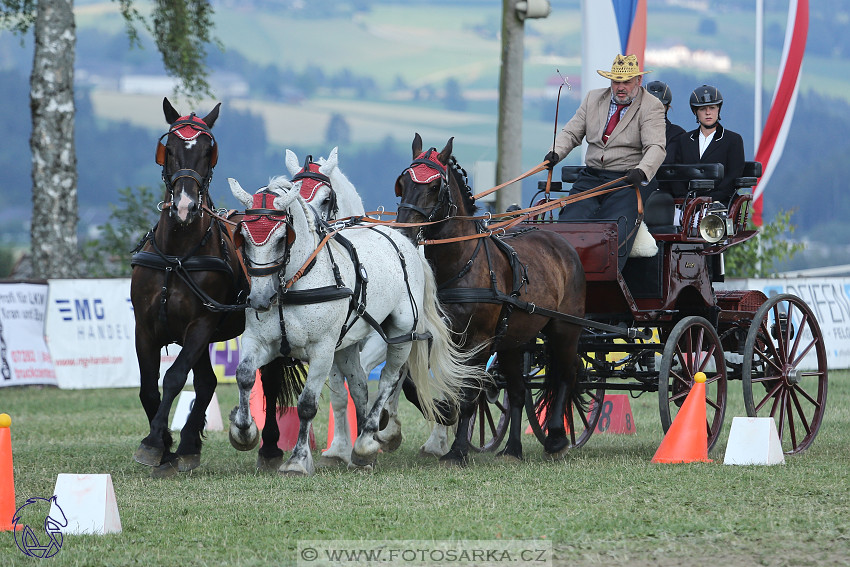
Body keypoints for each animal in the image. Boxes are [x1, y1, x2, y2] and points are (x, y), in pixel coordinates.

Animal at [132, 98, 302, 480]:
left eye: (209, 151)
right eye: (170, 148)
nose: (184, 206)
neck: (178, 256)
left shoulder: (201, 324)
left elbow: (175, 377)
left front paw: (155, 443)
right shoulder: (145, 327)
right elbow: (149, 387)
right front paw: (166, 445)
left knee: (268, 381)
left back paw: (269, 447)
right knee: (207, 382)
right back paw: (188, 446)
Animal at [396, 134, 588, 466]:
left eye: (435, 186)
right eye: (403, 181)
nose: (405, 231)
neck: (461, 264)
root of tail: (561, 243)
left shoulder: (479, 340)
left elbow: (470, 392)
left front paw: (458, 450)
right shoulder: (440, 334)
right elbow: (410, 382)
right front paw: (444, 412)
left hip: (564, 329)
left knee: (566, 373)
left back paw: (556, 438)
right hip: (514, 340)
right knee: (518, 390)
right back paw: (513, 449)